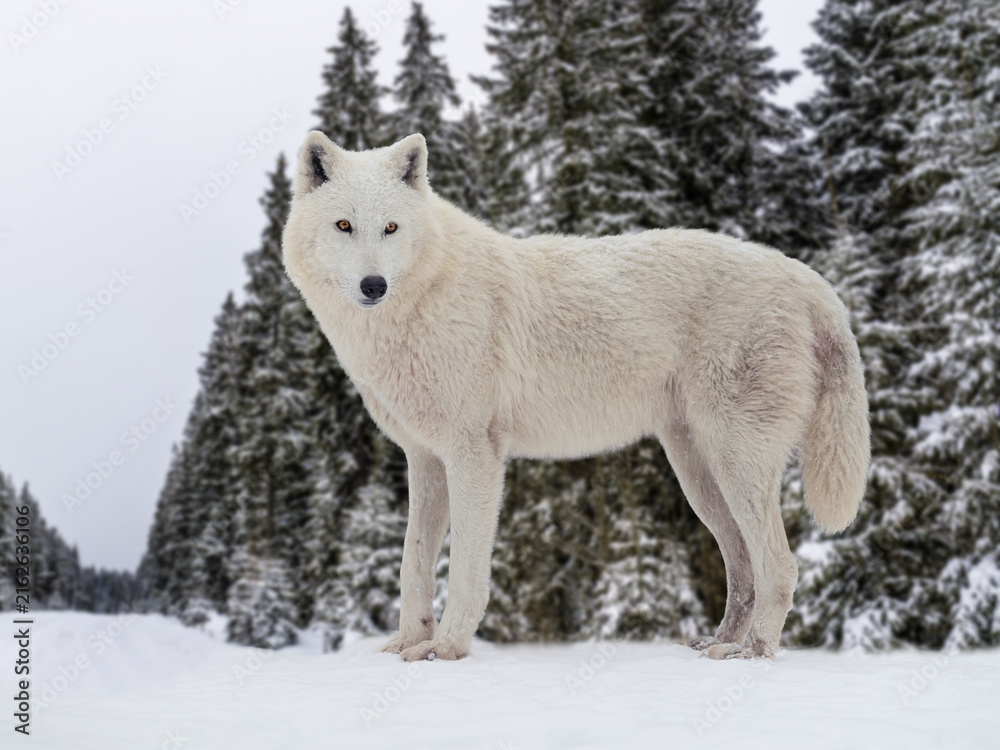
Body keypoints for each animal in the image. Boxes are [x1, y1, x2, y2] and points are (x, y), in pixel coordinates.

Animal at [281, 131, 870, 661]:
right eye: (344, 226)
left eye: (391, 227)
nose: (373, 285)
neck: (424, 301)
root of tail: (806, 278)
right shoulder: (424, 458)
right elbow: (414, 563)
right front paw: (408, 643)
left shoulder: (474, 456)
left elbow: (466, 566)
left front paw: (446, 649)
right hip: (698, 474)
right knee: (743, 567)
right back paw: (717, 643)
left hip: (733, 464)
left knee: (780, 565)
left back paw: (753, 653)